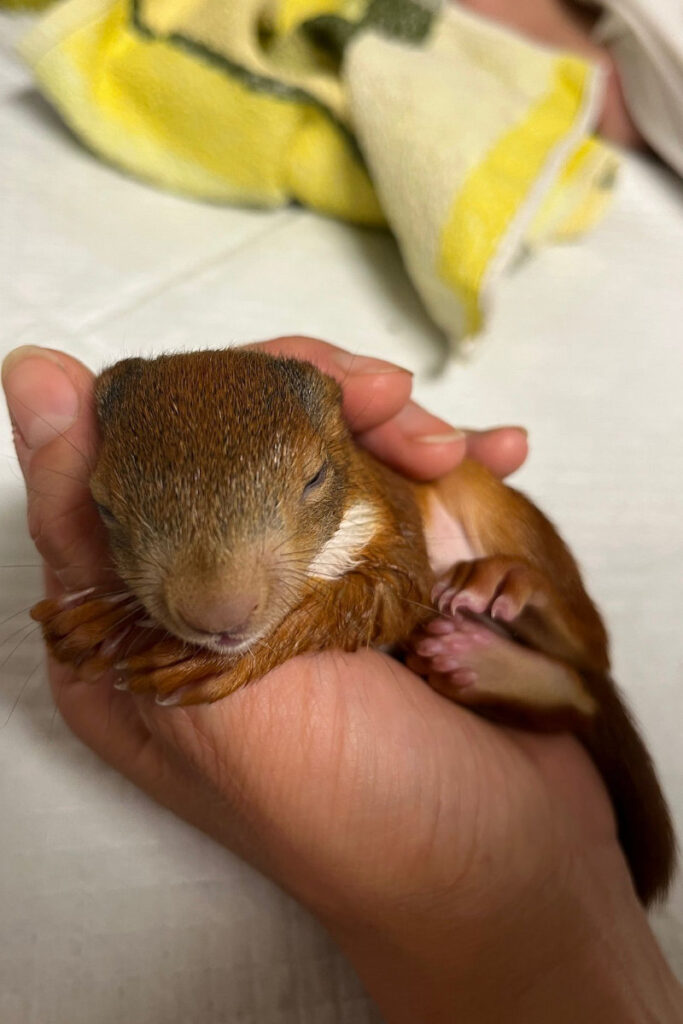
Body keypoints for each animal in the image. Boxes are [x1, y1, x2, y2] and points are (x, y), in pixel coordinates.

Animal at [31, 347, 676, 907]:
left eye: (316, 477)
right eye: (103, 506)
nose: (218, 617)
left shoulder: (394, 515)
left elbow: (383, 596)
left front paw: (204, 651)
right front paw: (110, 621)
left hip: (496, 510)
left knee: (591, 656)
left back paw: (509, 584)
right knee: (574, 698)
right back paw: (474, 660)